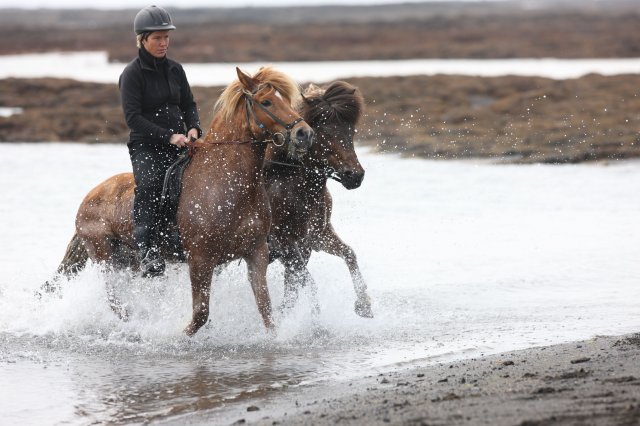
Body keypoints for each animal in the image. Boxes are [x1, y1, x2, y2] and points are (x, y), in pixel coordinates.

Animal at [49, 66, 312, 334]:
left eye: (285, 100)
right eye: (266, 102)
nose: (304, 133)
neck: (226, 182)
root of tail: (89, 198)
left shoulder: (256, 253)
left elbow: (266, 310)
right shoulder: (200, 259)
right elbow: (200, 314)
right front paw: (177, 335)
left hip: (127, 261)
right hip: (106, 259)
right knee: (115, 302)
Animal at [266, 81, 376, 318]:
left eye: (351, 131)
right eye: (322, 132)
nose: (355, 175)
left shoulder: (316, 238)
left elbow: (349, 254)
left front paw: (364, 304)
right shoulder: (284, 244)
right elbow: (305, 282)